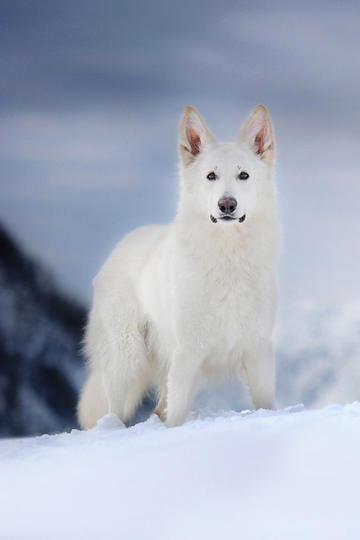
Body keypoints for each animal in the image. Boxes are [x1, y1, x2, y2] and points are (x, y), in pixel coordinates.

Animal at [77, 104, 280, 426]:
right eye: (211, 176)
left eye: (244, 175)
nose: (227, 205)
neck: (227, 255)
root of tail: (121, 245)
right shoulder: (188, 351)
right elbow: (177, 418)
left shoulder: (257, 350)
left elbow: (265, 405)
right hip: (126, 359)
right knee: (115, 409)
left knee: (159, 406)